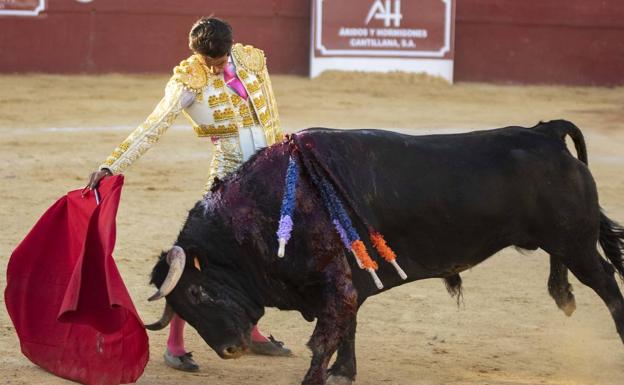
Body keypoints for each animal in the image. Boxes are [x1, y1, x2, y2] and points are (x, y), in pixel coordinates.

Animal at [144, 120, 624, 384]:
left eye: (200, 293)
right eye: (181, 306)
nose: (229, 350)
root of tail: (545, 132)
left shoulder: (334, 283)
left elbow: (325, 337)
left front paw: (320, 376)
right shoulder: (346, 281)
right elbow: (348, 328)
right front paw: (344, 372)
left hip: (576, 242)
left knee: (608, 284)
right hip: (560, 239)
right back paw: (563, 295)